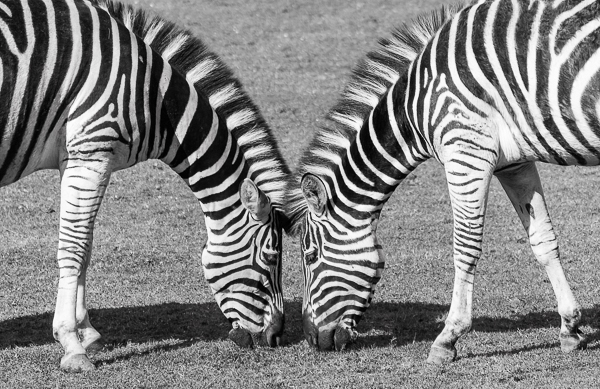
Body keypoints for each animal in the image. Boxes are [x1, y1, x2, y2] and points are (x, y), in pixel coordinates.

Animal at [0, 0, 290, 370]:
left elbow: (86, 247)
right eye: (271, 257)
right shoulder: (92, 148)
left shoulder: (79, 156)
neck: (155, 96)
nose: (276, 337)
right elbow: (74, 249)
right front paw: (72, 345)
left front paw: (87, 333)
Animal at [288, 0, 596, 360]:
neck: (415, 105)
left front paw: (448, 337)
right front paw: (570, 328)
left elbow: (465, 246)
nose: (312, 340)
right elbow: (542, 239)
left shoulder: (466, 151)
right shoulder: (514, 164)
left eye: (310, 256)